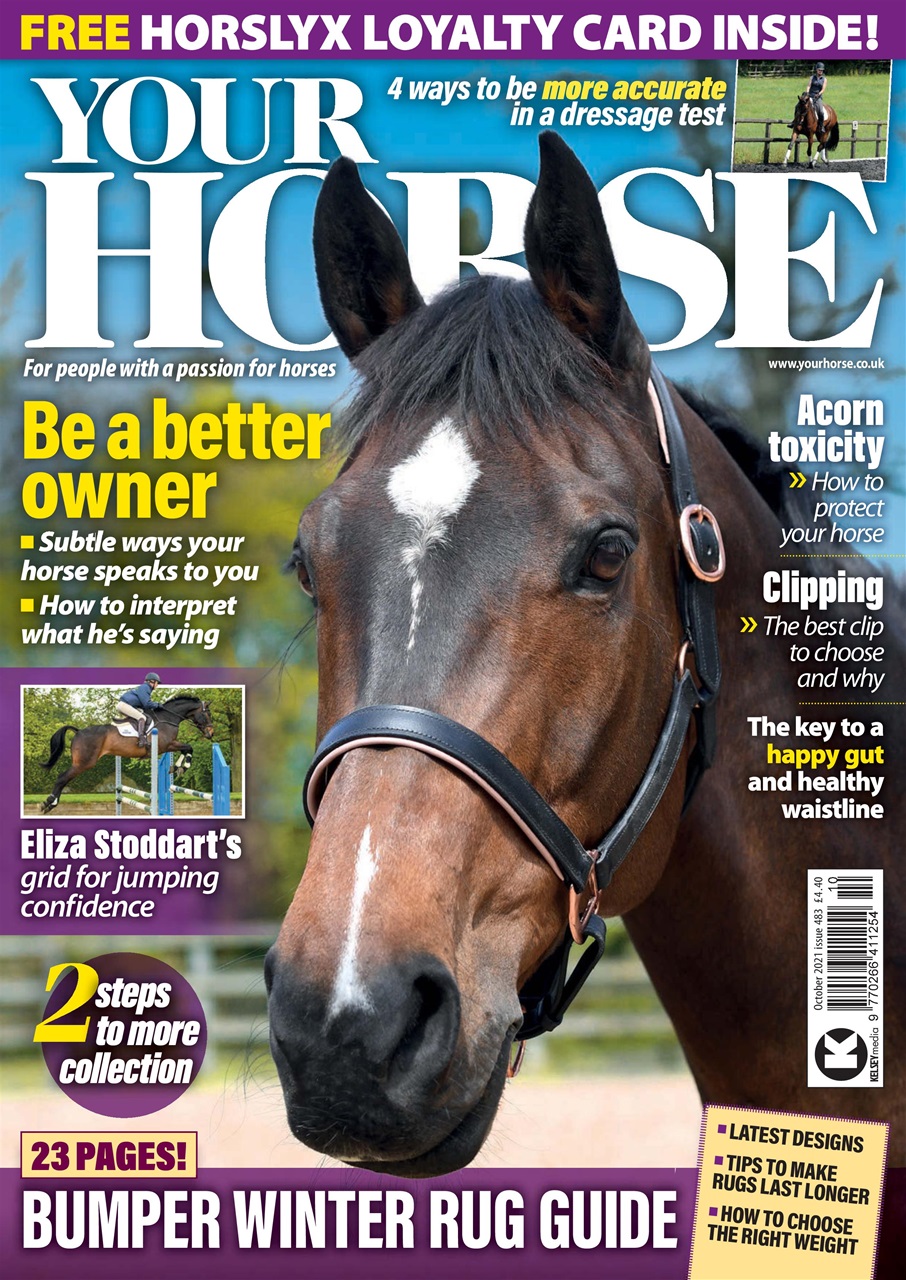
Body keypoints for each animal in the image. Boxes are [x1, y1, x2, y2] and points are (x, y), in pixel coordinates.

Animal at [40, 695, 215, 813]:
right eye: (208, 714)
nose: (211, 733)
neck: (168, 718)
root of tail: (78, 731)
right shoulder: (166, 745)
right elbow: (189, 748)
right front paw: (181, 767)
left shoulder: (169, 746)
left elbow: (186, 749)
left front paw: (176, 768)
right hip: (84, 763)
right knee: (62, 778)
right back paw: (49, 803)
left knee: (63, 778)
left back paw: (50, 803)